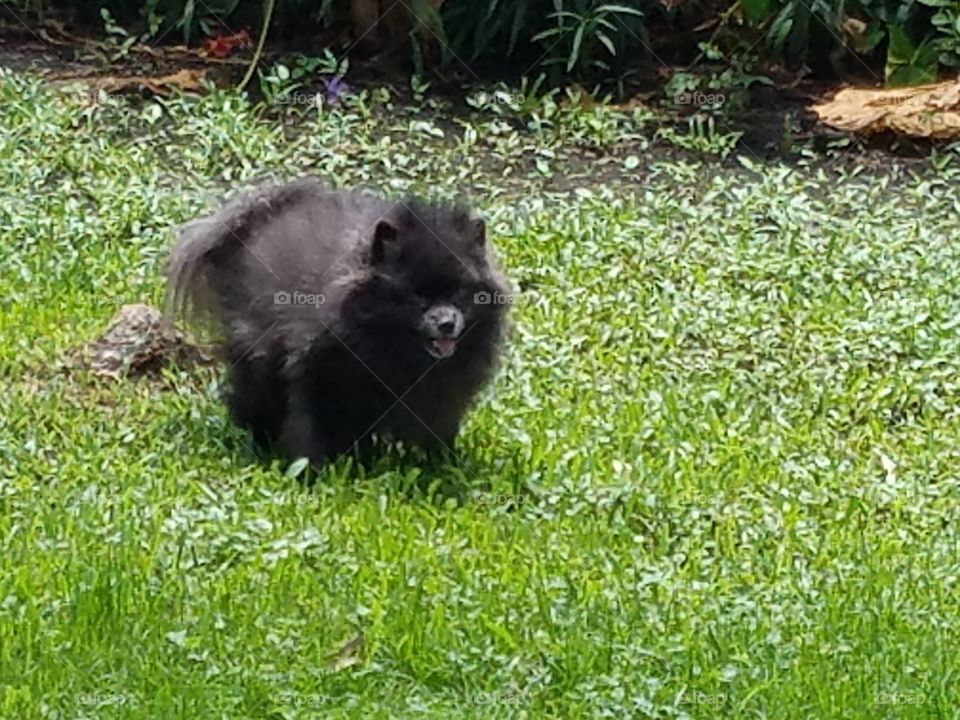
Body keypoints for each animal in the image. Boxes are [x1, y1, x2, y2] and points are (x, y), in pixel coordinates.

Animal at [165, 177, 510, 464]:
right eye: (416, 297)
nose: (446, 322)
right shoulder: (318, 375)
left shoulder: (441, 395)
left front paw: (442, 464)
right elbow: (314, 425)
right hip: (259, 357)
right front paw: (316, 470)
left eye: (460, 293)